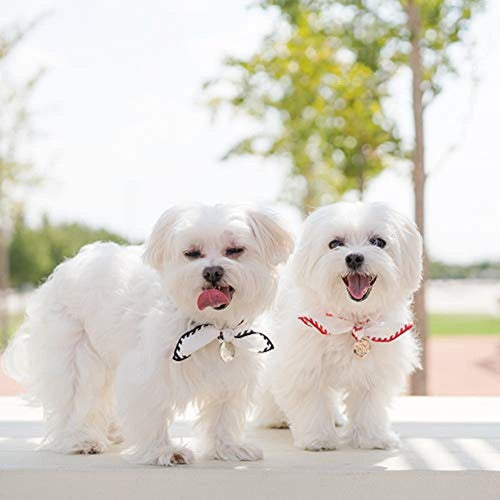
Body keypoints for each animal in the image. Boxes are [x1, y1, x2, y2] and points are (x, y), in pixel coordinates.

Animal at [4, 202, 292, 464]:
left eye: (235, 251)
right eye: (192, 253)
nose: (212, 271)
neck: (211, 326)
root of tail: (66, 268)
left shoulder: (231, 374)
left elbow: (224, 414)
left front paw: (228, 447)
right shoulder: (148, 373)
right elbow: (152, 411)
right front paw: (162, 451)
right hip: (76, 356)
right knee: (77, 399)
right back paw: (80, 439)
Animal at [262, 201, 422, 452]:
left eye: (379, 242)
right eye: (335, 244)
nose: (354, 258)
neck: (352, 321)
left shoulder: (374, 369)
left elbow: (370, 405)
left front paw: (373, 438)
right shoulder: (302, 364)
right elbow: (311, 402)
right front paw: (317, 439)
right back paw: (276, 418)